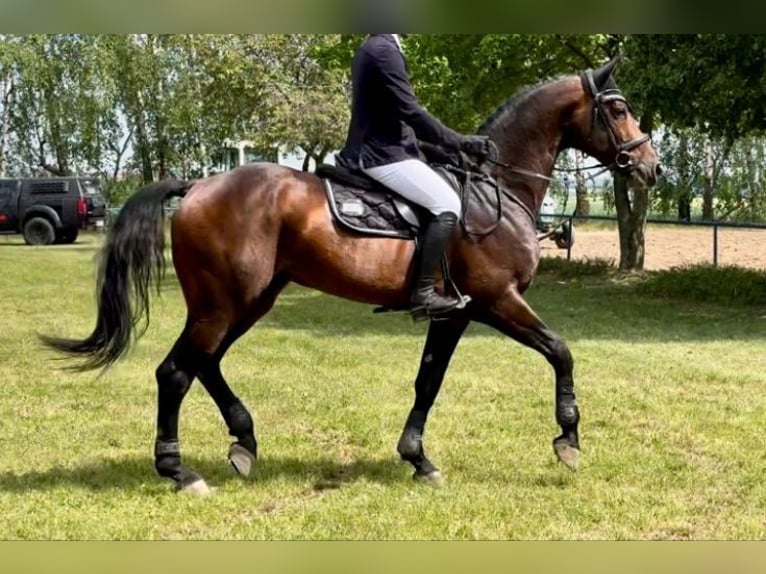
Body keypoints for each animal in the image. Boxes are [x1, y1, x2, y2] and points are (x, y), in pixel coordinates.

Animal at [45, 57, 664, 496]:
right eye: (618, 109)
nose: (652, 166)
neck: (498, 189)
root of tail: (198, 186)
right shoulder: (496, 301)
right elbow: (560, 351)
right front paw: (568, 439)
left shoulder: (456, 315)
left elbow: (428, 382)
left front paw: (418, 459)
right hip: (222, 303)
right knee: (176, 372)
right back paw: (179, 471)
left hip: (248, 301)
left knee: (206, 364)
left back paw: (243, 442)